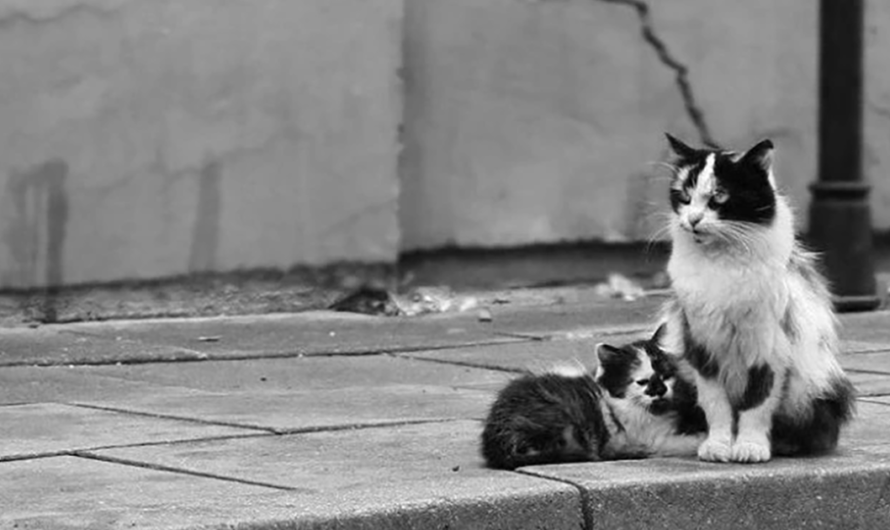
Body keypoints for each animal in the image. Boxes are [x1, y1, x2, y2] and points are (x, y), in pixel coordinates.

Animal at [660, 134, 852, 460]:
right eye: (684, 197)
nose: (693, 220)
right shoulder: (701, 345)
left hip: (815, 386)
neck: (721, 262)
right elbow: (716, 405)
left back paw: (784, 445)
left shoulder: (768, 348)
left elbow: (757, 403)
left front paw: (750, 447)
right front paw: (718, 446)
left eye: (718, 198)